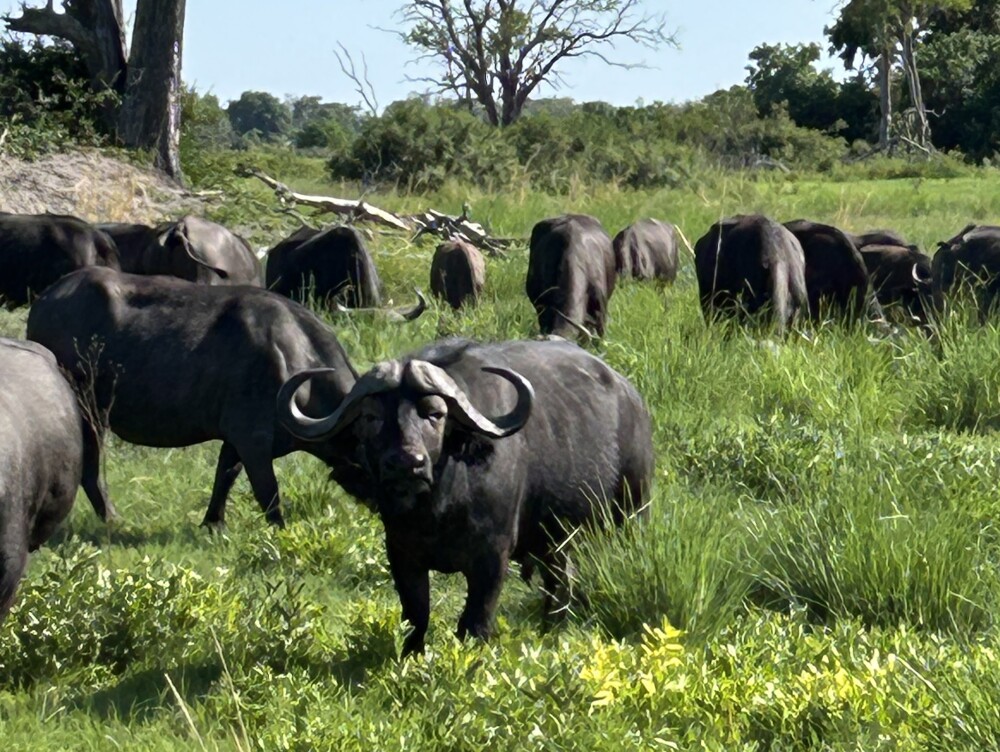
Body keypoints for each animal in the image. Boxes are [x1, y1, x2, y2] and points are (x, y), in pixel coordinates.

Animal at [25, 267, 373, 530]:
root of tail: (45, 301)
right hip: (89, 410)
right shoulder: (253, 441)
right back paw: (111, 518)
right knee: (91, 467)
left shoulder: (235, 441)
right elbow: (269, 493)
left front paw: (212, 523)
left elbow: (225, 477)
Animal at [276, 337, 654, 655]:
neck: (438, 508)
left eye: (435, 414)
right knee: (560, 582)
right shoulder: (401, 553)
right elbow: (416, 614)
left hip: (633, 513)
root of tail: (631, 398)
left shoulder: (493, 557)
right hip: (556, 540)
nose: (407, 463)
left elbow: (476, 620)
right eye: (371, 416)